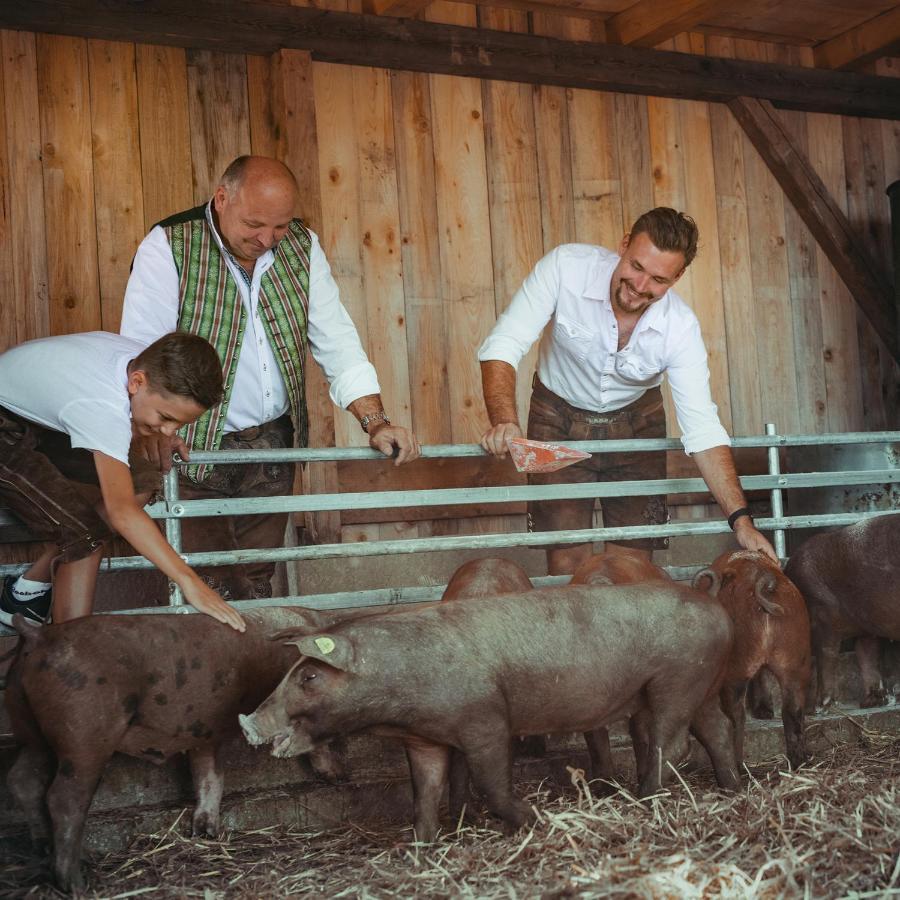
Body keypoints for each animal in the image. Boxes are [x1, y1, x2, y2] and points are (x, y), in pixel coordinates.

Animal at [7, 604, 352, 892]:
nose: (345, 777)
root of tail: (40, 634)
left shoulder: (205, 733)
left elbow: (209, 776)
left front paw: (205, 833)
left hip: (29, 729)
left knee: (23, 780)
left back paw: (44, 848)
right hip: (85, 736)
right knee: (64, 798)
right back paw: (76, 883)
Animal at [241, 584, 740, 844]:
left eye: (309, 677)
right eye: (290, 673)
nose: (247, 722)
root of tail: (720, 611)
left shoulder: (484, 721)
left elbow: (491, 783)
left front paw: (539, 822)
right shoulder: (423, 738)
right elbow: (424, 790)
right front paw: (421, 846)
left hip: (676, 678)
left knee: (671, 741)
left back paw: (645, 800)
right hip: (701, 684)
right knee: (717, 729)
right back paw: (733, 789)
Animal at [692, 552, 812, 768]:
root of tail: (761, 582)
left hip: (736, 666)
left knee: (736, 716)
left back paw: (739, 765)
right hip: (796, 659)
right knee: (793, 710)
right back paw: (799, 762)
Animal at [784, 512, 900, 712]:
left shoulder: (822, 616)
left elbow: (827, 654)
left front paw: (818, 708)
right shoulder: (866, 625)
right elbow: (866, 655)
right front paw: (872, 702)